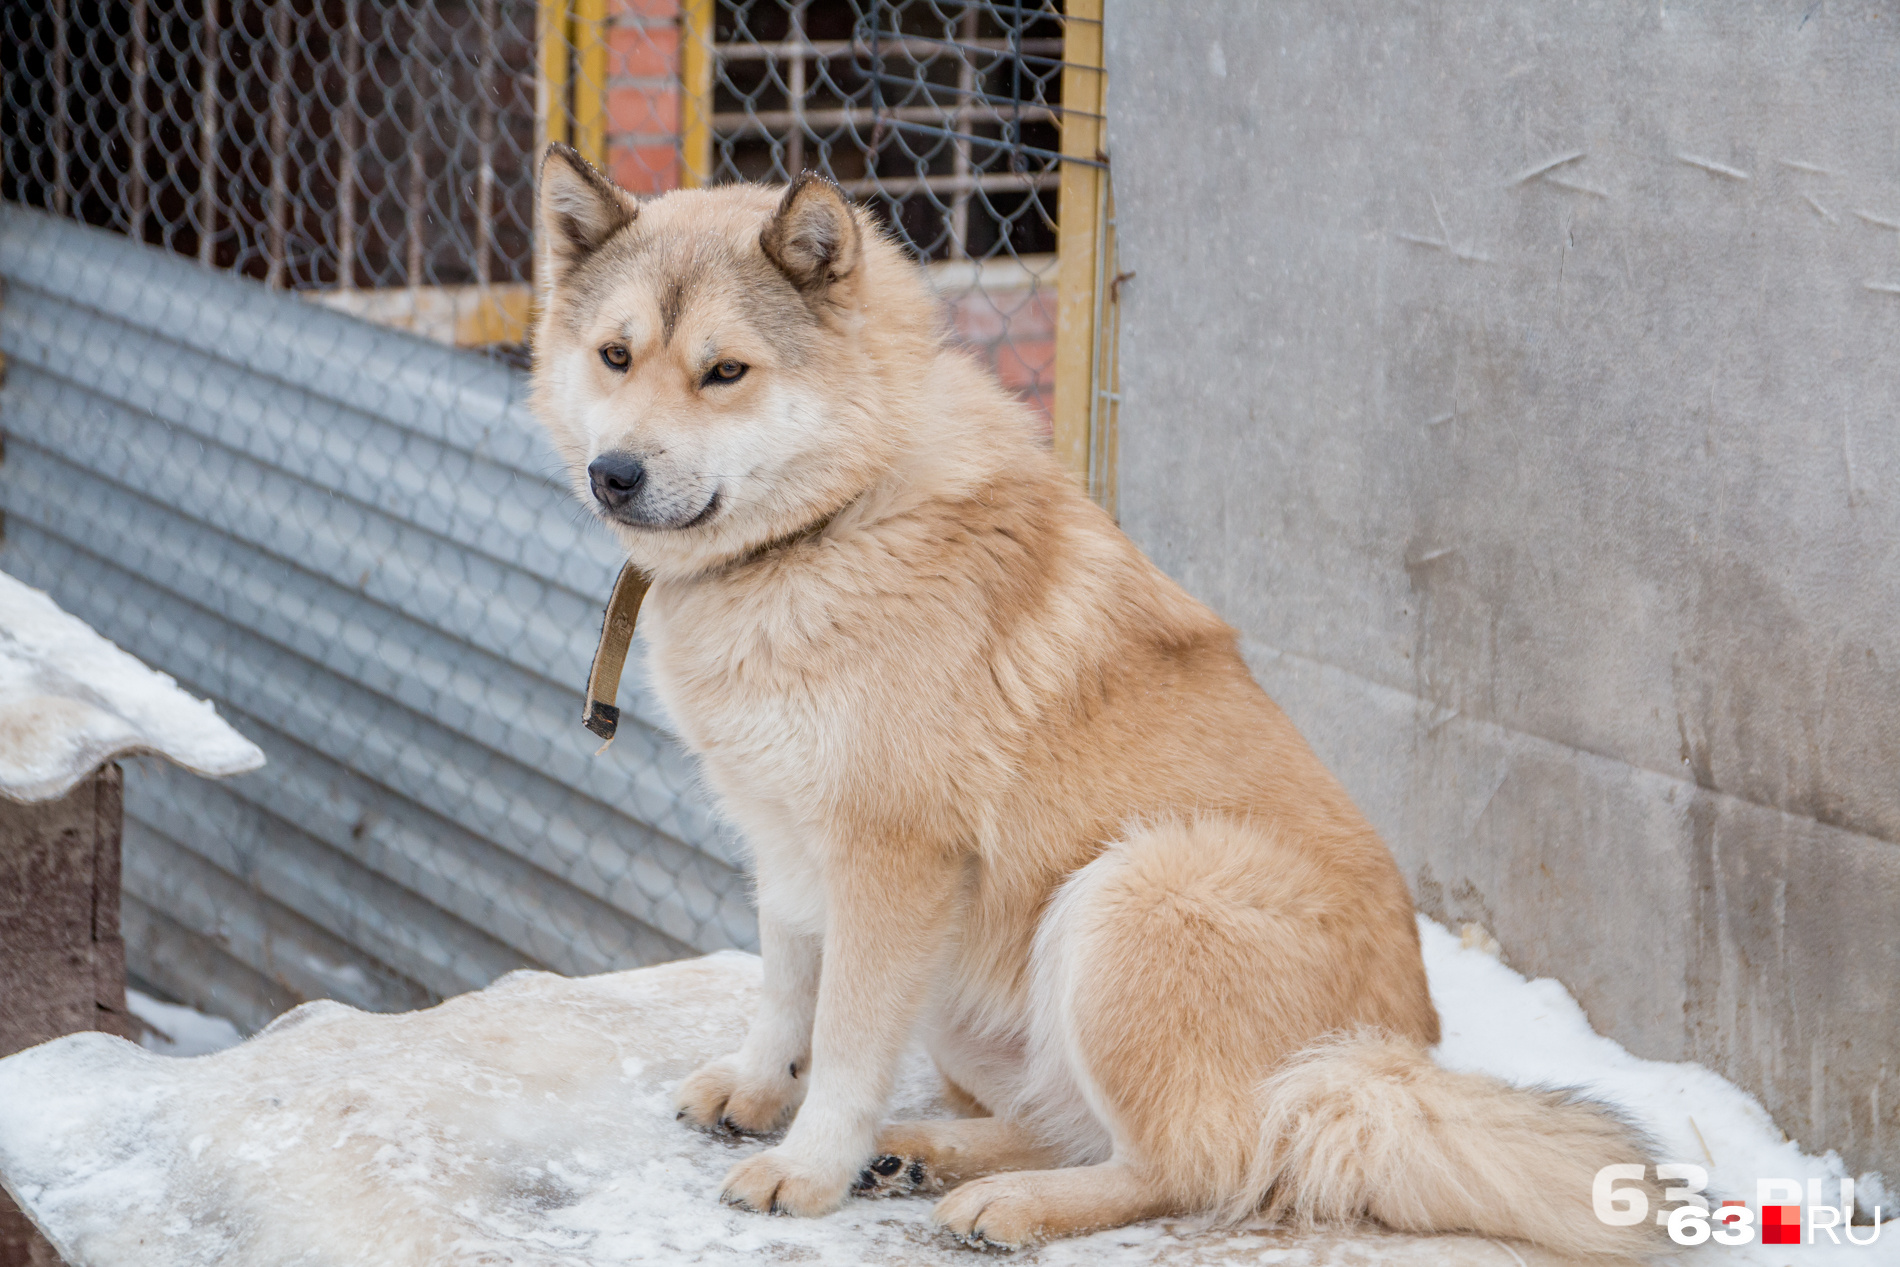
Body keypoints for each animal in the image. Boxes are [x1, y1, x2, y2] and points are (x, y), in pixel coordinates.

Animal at [532, 141, 1664, 1261]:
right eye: (616, 356)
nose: (614, 474)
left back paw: (1013, 1202)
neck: (834, 520)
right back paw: (926, 1155)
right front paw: (765, 1091)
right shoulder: (787, 842)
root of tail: (1380, 1070)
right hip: (979, 990)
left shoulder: (891, 856)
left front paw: (806, 1168)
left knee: (1199, 1163)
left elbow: (847, 1040)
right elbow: (785, 990)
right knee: (1073, 1123)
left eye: (726, 371)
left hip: (1128, 895)